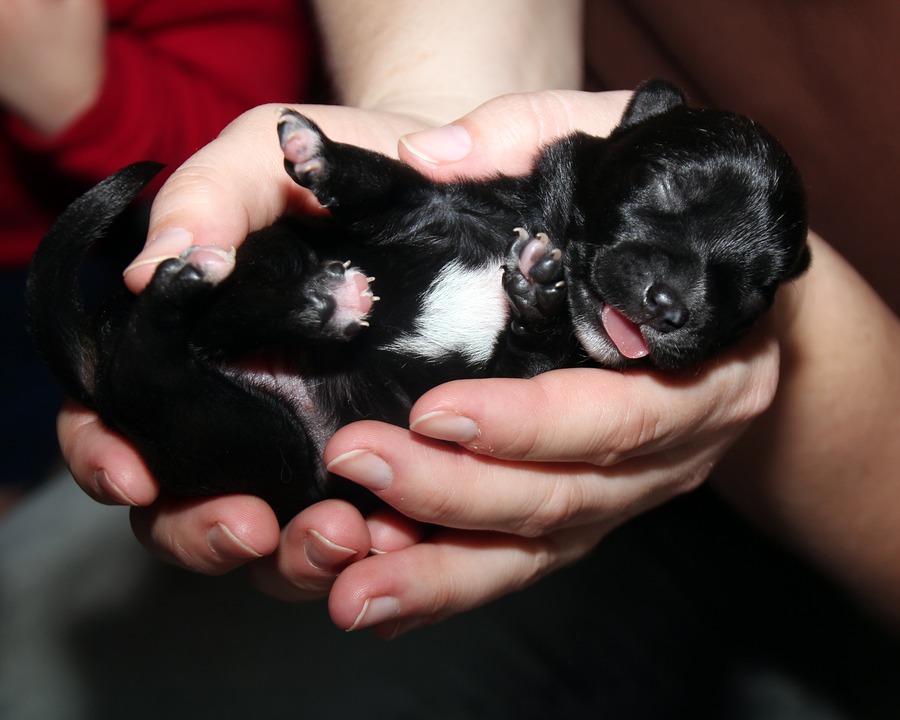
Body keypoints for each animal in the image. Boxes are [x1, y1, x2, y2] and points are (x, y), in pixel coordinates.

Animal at [26, 80, 808, 524]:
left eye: (753, 289)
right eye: (668, 184)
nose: (674, 306)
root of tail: (99, 370)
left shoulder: (511, 379)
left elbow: (519, 357)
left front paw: (537, 293)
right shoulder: (430, 207)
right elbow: (385, 186)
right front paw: (319, 152)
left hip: (256, 442)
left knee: (165, 365)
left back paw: (300, 307)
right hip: (271, 268)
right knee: (209, 322)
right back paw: (275, 297)